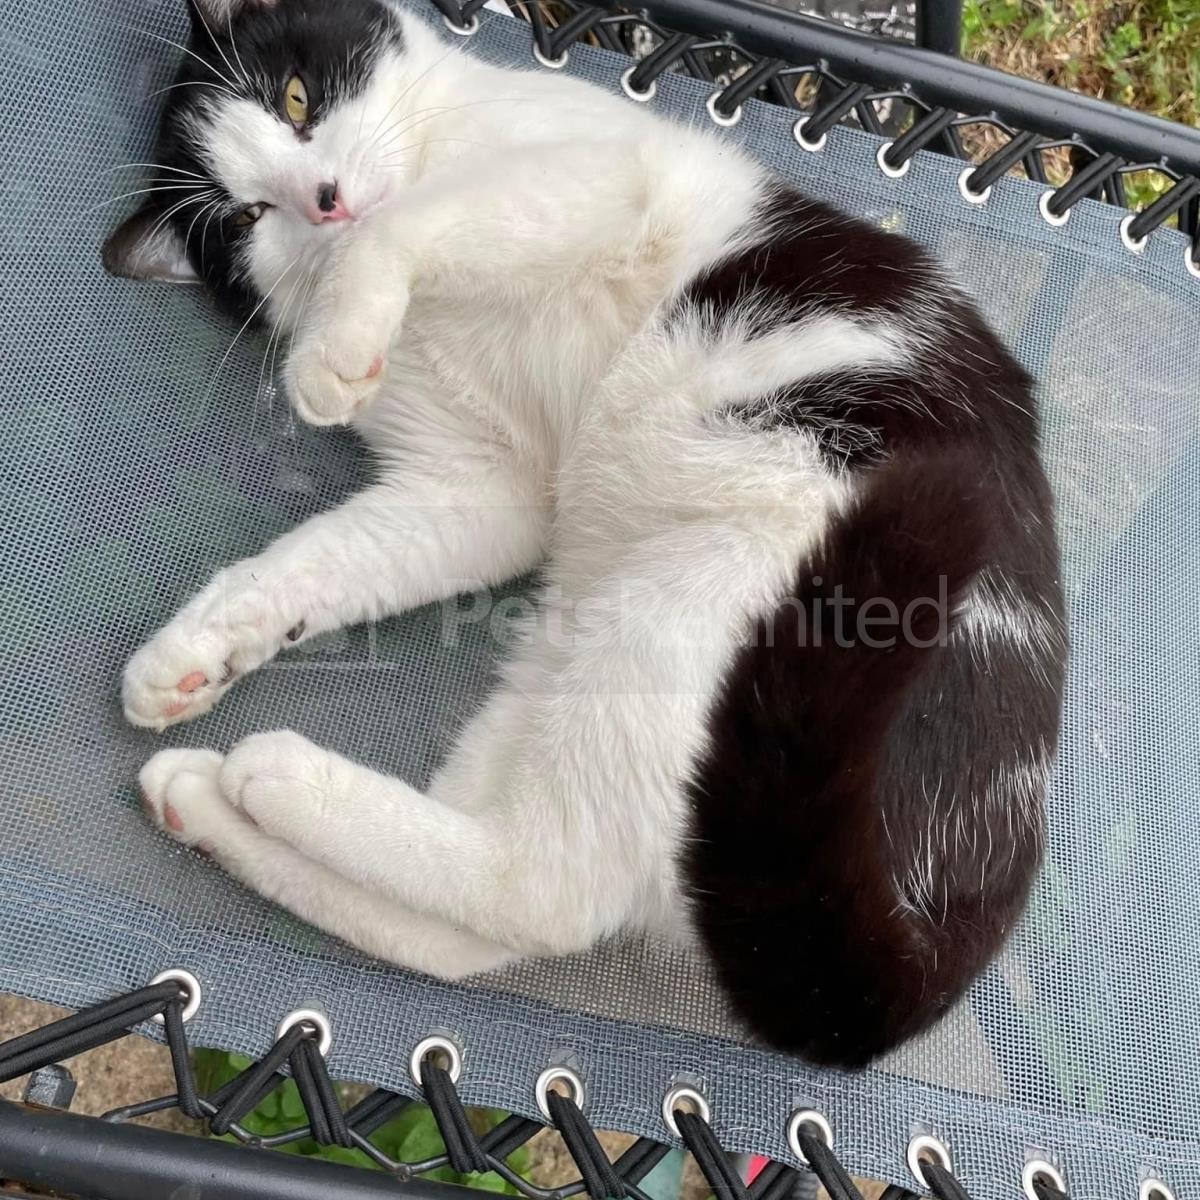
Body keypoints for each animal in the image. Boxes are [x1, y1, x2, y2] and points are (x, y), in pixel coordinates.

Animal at [105, 0, 1066, 1067]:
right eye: (243, 217)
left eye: (297, 99)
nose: (322, 202)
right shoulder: (483, 490)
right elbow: (317, 559)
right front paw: (192, 651)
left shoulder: (595, 176)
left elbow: (404, 224)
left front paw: (332, 347)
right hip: (579, 655)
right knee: (486, 921)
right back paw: (208, 793)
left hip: (708, 609)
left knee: (540, 889)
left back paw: (270, 775)